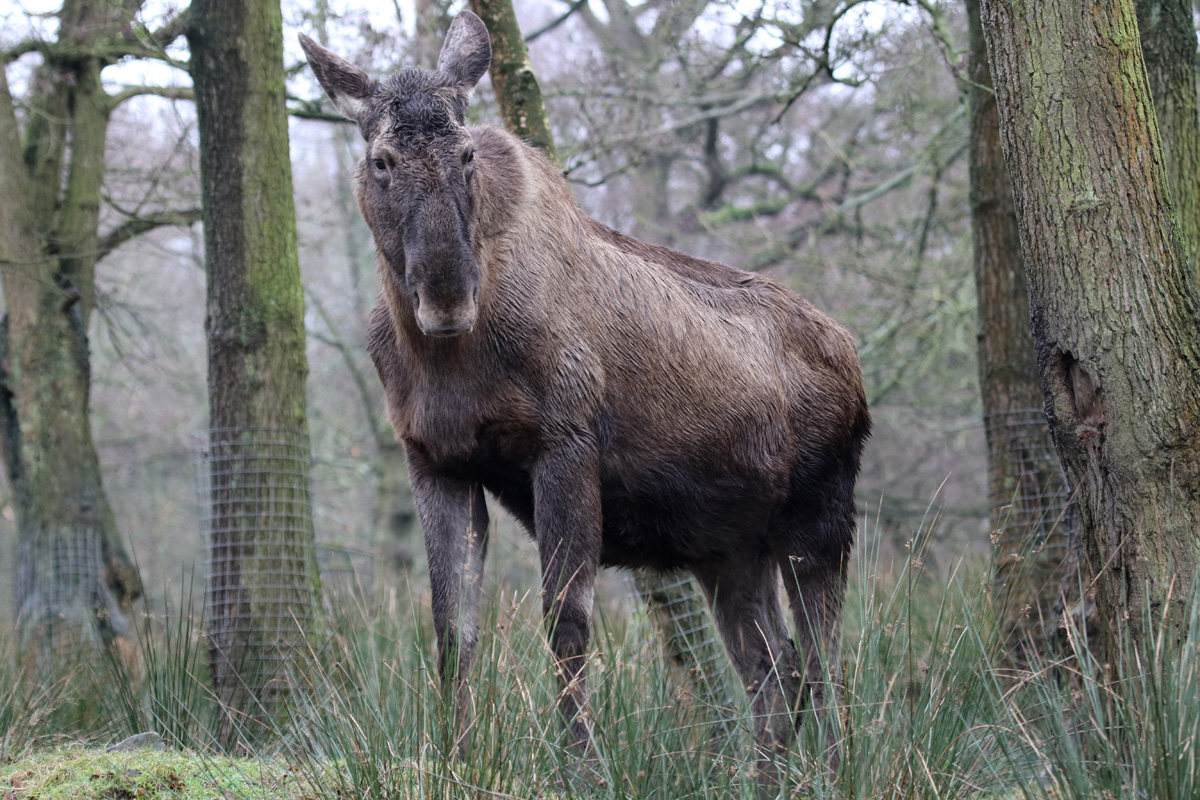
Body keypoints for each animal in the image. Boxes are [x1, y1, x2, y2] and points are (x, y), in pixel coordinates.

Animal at [300, 10, 870, 781]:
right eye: (382, 159)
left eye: (467, 154)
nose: (447, 294)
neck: (445, 358)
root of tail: (854, 363)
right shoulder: (434, 460)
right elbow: (453, 628)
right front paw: (456, 760)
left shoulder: (564, 442)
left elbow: (565, 622)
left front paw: (581, 768)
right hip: (728, 547)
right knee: (772, 666)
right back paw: (767, 779)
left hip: (821, 513)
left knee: (823, 660)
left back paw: (828, 773)